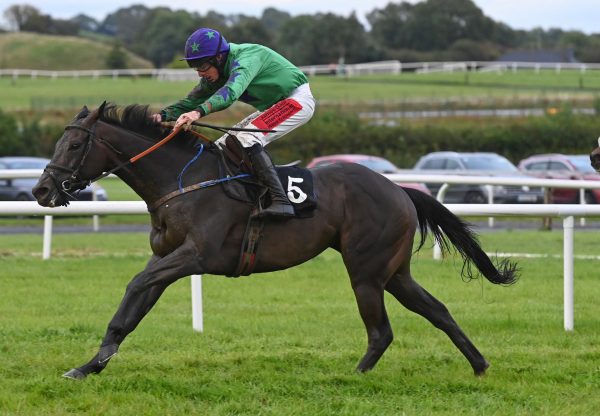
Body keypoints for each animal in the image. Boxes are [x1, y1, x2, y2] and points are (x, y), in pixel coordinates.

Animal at [34, 101, 516, 380]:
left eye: (74, 145)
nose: (41, 190)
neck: (181, 180)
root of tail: (400, 189)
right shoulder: (169, 259)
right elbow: (132, 309)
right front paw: (91, 365)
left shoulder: (196, 256)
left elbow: (134, 284)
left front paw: (97, 360)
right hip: (393, 271)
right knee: (435, 308)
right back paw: (479, 365)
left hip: (366, 271)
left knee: (381, 330)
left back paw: (354, 376)